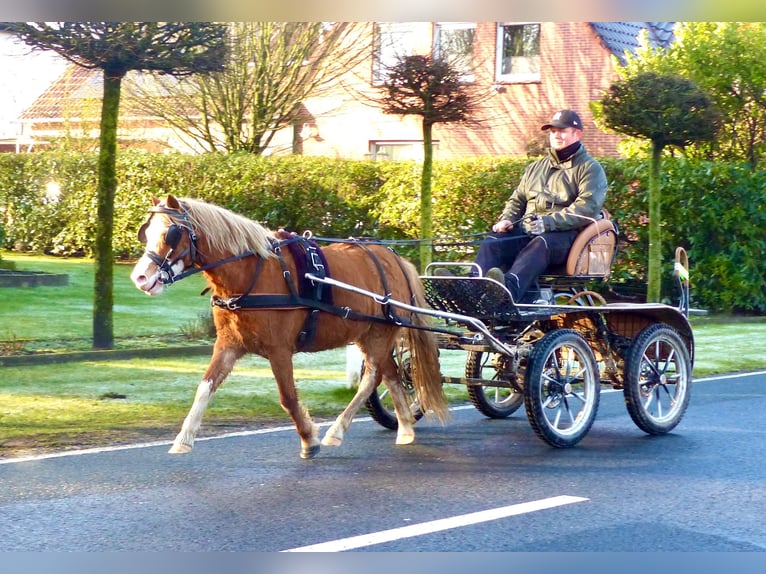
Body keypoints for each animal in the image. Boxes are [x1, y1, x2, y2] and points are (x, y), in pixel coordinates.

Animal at [129, 196, 448, 462]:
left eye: (170, 234)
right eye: (146, 232)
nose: (140, 278)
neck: (252, 274)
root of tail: (395, 258)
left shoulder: (279, 350)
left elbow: (288, 397)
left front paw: (309, 440)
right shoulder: (229, 345)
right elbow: (205, 387)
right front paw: (184, 439)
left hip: (379, 333)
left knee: (372, 377)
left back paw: (337, 431)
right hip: (371, 333)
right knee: (391, 374)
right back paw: (404, 427)